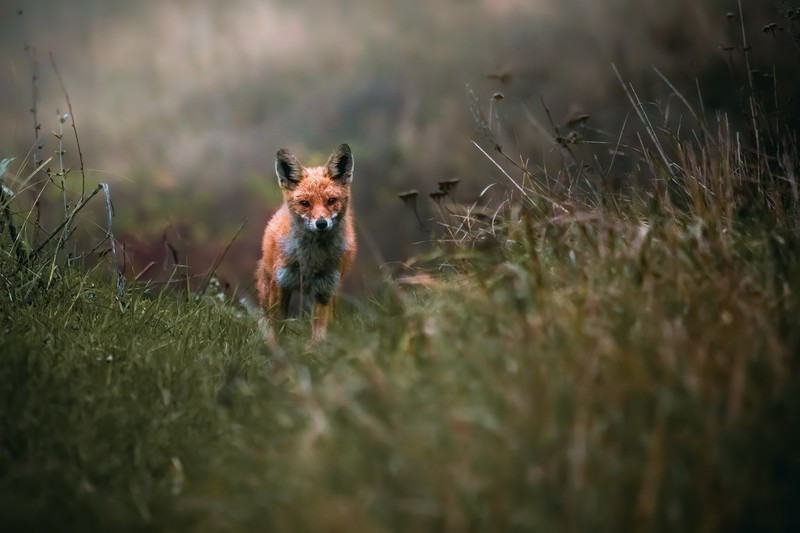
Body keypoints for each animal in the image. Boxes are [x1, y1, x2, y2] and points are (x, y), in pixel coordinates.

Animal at [255, 143, 356, 341]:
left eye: (331, 201)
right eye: (305, 203)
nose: (321, 223)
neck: (311, 260)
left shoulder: (324, 290)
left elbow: (319, 333)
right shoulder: (281, 284)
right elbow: (277, 329)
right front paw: (276, 348)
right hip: (268, 287)